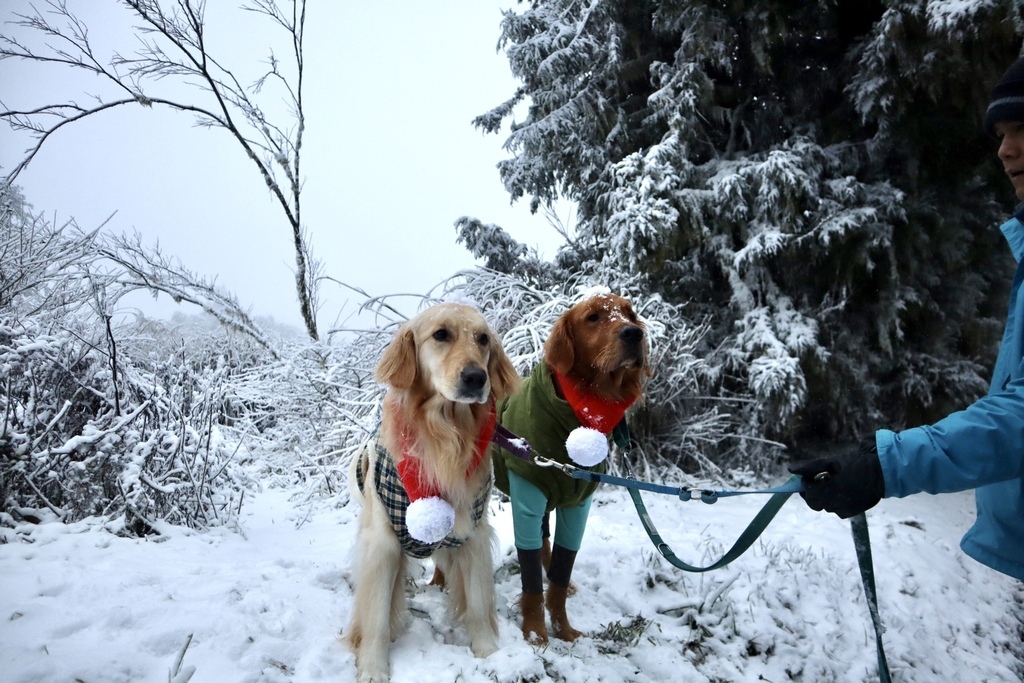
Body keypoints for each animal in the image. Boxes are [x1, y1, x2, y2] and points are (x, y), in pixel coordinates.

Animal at [346, 303, 520, 683]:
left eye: (483, 339)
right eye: (441, 334)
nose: (476, 378)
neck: (445, 434)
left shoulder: (472, 535)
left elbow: (479, 603)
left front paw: (489, 653)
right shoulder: (382, 544)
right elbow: (376, 615)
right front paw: (373, 667)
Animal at [489, 290, 647, 643]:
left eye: (629, 314)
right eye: (593, 317)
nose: (634, 334)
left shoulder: (577, 503)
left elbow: (561, 570)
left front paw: (563, 629)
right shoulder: (527, 498)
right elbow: (531, 581)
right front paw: (535, 634)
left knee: (545, 542)